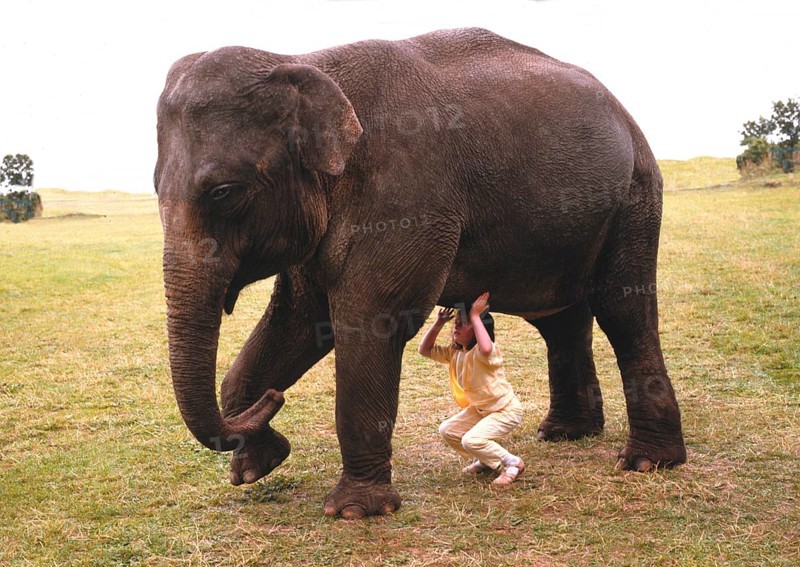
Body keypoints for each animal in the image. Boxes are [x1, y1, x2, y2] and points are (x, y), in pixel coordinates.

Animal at [154, 28, 686, 519]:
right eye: (155, 187)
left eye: (224, 192)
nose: (274, 397)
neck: (304, 62)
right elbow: (300, 322)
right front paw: (258, 467)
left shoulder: (406, 196)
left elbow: (372, 322)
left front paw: (355, 511)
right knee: (560, 321)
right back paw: (564, 434)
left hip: (635, 196)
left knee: (623, 312)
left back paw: (646, 462)